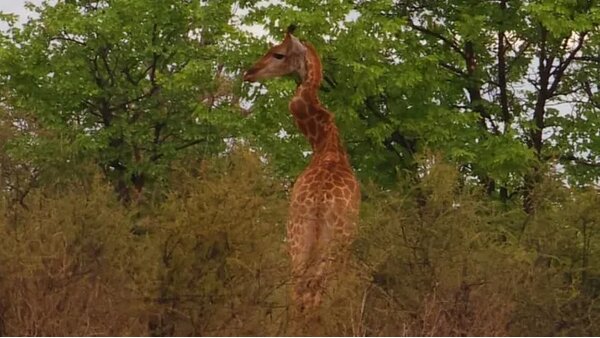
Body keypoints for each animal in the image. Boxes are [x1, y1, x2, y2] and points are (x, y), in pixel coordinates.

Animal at [244, 24, 360, 314]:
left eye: (278, 53)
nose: (248, 72)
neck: (325, 144)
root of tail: (319, 202)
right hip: (330, 245)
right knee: (313, 293)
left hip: (298, 239)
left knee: (298, 291)